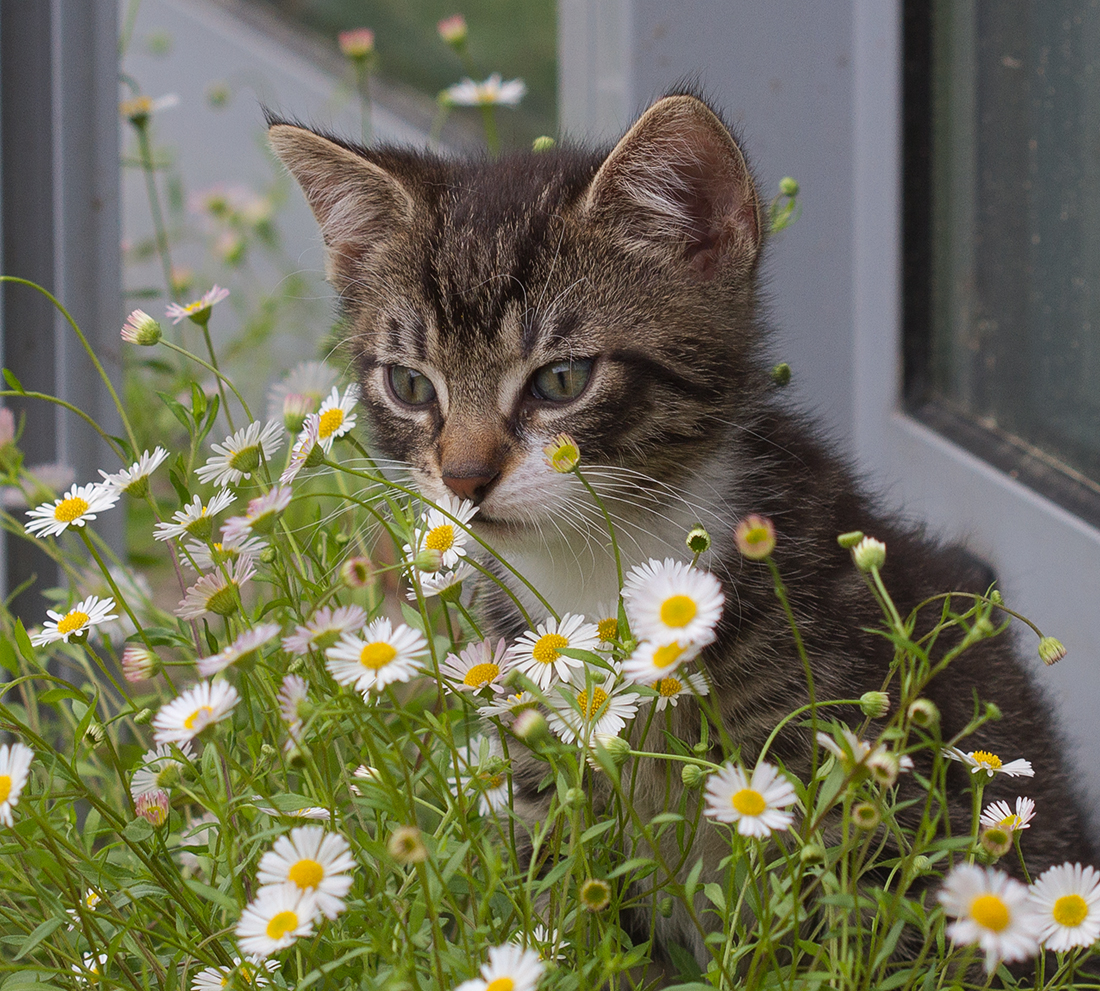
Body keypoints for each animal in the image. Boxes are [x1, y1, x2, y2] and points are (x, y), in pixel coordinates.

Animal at [270, 96, 1095, 963]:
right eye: (409, 384)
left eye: (561, 380)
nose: (464, 479)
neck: (599, 565)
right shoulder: (546, 781)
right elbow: (572, 922)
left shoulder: (832, 776)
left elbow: (823, 937)